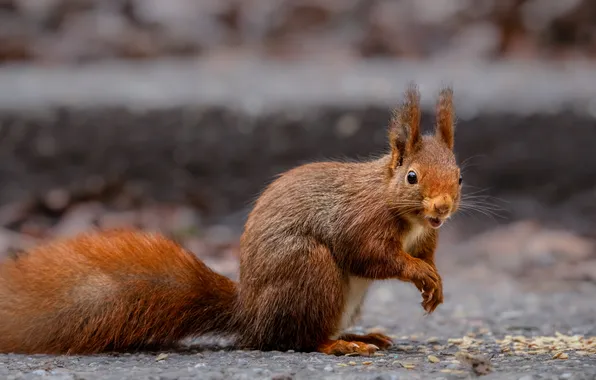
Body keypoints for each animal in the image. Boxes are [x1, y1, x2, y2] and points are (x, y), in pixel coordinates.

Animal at [0, 83, 460, 356]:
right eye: (412, 176)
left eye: (458, 175)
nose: (442, 208)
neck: (400, 207)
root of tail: (250, 313)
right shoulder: (359, 222)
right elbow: (372, 256)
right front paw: (420, 274)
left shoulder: (424, 236)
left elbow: (424, 256)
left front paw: (435, 281)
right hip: (309, 271)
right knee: (296, 340)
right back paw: (337, 346)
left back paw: (358, 335)